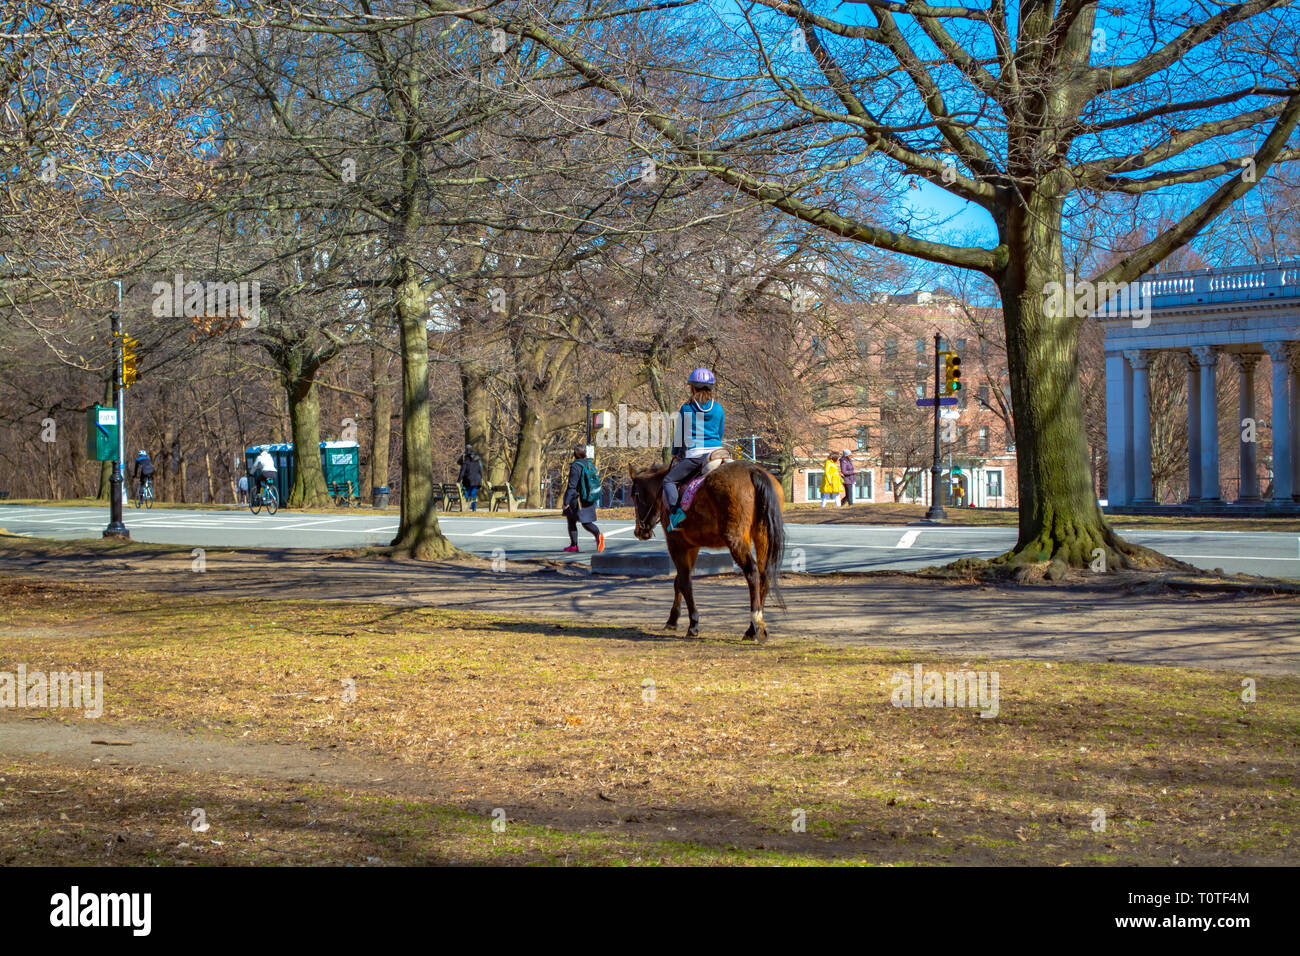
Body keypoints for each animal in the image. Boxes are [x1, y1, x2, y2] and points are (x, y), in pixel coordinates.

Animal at [627, 459, 786, 641]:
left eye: (634, 495)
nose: (639, 531)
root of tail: (753, 470)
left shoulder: (676, 544)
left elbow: (684, 582)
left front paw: (693, 624)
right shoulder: (692, 546)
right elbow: (678, 581)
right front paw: (672, 620)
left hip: (736, 539)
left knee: (752, 572)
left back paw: (756, 624)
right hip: (762, 536)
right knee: (764, 573)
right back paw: (752, 628)